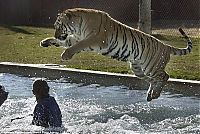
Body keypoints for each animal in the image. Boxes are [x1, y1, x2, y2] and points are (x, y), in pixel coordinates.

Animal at [40, 7, 192, 101]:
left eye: (58, 26)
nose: (57, 34)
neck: (77, 26)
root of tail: (166, 46)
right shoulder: (75, 38)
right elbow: (63, 42)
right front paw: (45, 42)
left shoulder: (93, 39)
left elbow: (76, 46)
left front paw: (65, 55)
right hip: (138, 69)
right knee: (154, 80)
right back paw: (150, 95)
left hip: (152, 66)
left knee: (164, 76)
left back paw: (154, 95)